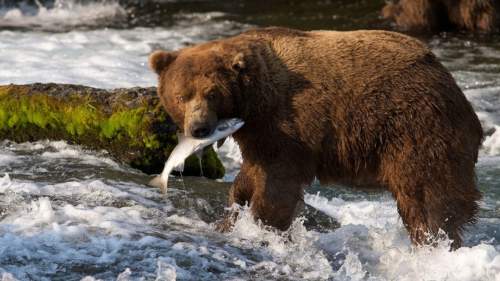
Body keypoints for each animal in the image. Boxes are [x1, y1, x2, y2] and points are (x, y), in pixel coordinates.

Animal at [149, 27, 484, 248]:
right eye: (181, 96)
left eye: (212, 93)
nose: (198, 129)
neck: (258, 100)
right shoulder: (259, 134)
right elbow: (250, 175)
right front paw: (229, 218)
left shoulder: (291, 124)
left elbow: (278, 182)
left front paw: (262, 226)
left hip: (415, 128)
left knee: (428, 194)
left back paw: (434, 241)